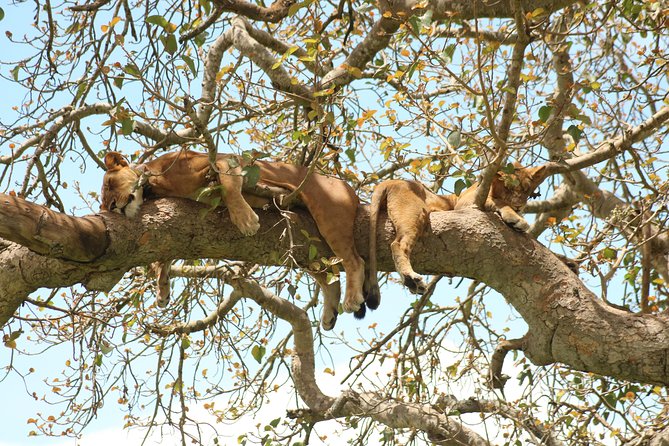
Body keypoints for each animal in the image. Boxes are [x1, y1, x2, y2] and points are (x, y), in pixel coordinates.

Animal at [101, 150, 366, 330]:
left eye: (110, 183)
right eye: (103, 202)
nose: (111, 207)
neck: (153, 185)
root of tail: (347, 186)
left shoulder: (223, 160)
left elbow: (229, 187)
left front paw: (245, 220)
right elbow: (165, 256)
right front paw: (162, 289)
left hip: (329, 215)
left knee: (355, 260)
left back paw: (352, 299)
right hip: (305, 244)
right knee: (329, 276)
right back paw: (330, 314)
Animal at [364, 163, 547, 307]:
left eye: (526, 190)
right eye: (508, 188)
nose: (519, 206)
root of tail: (389, 181)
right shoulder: (465, 202)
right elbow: (499, 202)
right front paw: (516, 218)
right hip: (416, 213)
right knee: (398, 244)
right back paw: (411, 278)